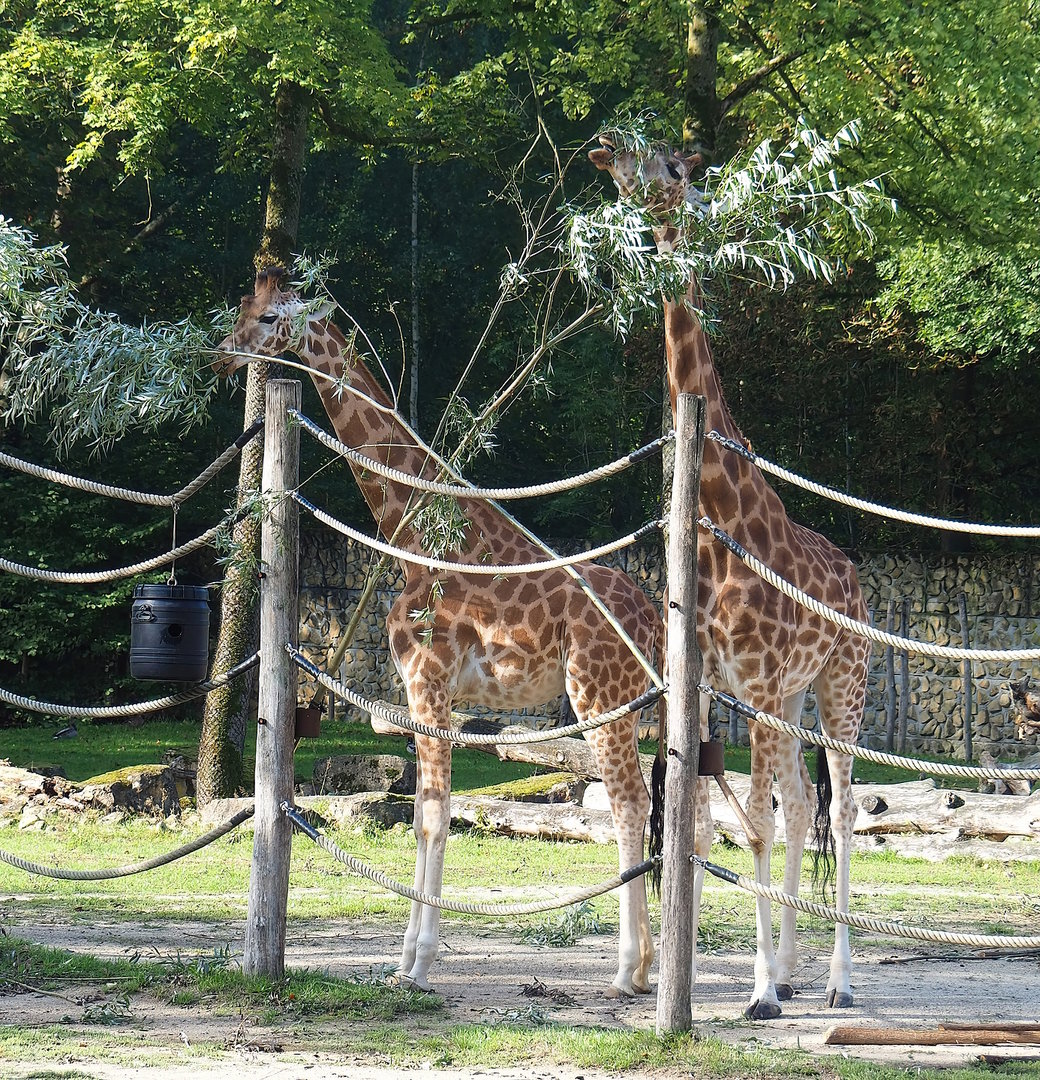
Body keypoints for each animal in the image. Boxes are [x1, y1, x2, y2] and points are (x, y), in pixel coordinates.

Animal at [214, 267, 663, 996]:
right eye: (243, 307)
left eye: (269, 318)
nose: (224, 355)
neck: (410, 539)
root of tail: (652, 619)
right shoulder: (429, 695)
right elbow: (430, 812)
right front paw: (406, 958)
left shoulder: (428, 682)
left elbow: (431, 818)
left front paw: (419, 963)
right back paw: (657, 967)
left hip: (599, 696)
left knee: (629, 804)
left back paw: (631, 970)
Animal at [590, 138, 871, 1018]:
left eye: (674, 169)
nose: (605, 145)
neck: (719, 516)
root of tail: (855, 575)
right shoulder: (717, 678)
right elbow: (716, 824)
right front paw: (742, 982)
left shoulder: (768, 675)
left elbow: (757, 822)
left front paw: (760, 993)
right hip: (791, 697)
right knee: (804, 802)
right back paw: (792, 968)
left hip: (840, 683)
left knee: (842, 806)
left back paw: (838, 981)